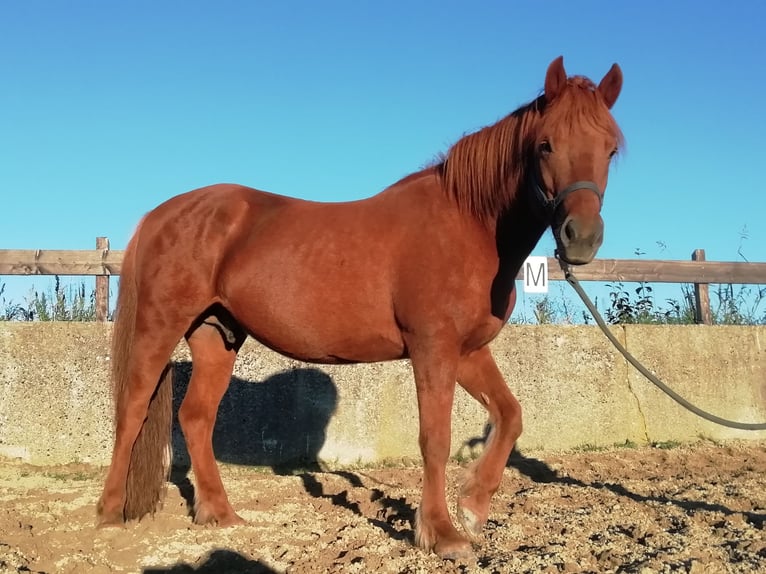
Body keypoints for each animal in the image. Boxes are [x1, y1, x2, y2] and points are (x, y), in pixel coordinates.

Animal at [96, 56, 623, 559]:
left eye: (611, 149)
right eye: (545, 145)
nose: (581, 238)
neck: (467, 226)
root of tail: (163, 213)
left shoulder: (469, 351)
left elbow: (511, 415)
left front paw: (473, 507)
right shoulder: (433, 349)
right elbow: (435, 438)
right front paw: (441, 532)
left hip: (216, 335)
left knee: (196, 418)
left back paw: (219, 513)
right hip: (160, 326)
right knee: (133, 409)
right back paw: (109, 513)